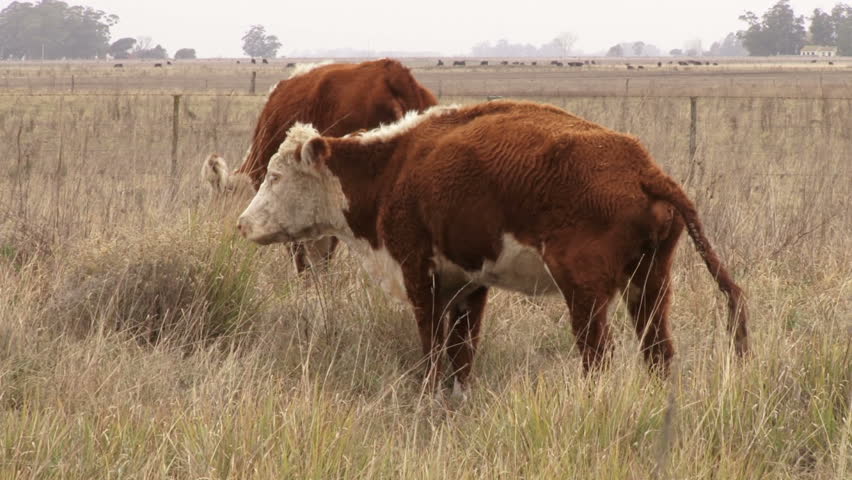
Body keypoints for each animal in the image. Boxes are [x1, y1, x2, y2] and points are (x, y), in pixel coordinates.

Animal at [236, 99, 748, 396]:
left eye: (276, 176)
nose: (242, 224)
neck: (394, 168)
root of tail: (643, 168)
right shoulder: (468, 283)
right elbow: (462, 352)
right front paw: (456, 399)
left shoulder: (419, 274)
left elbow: (432, 347)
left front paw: (427, 397)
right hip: (650, 282)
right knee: (658, 351)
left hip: (585, 292)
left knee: (597, 355)